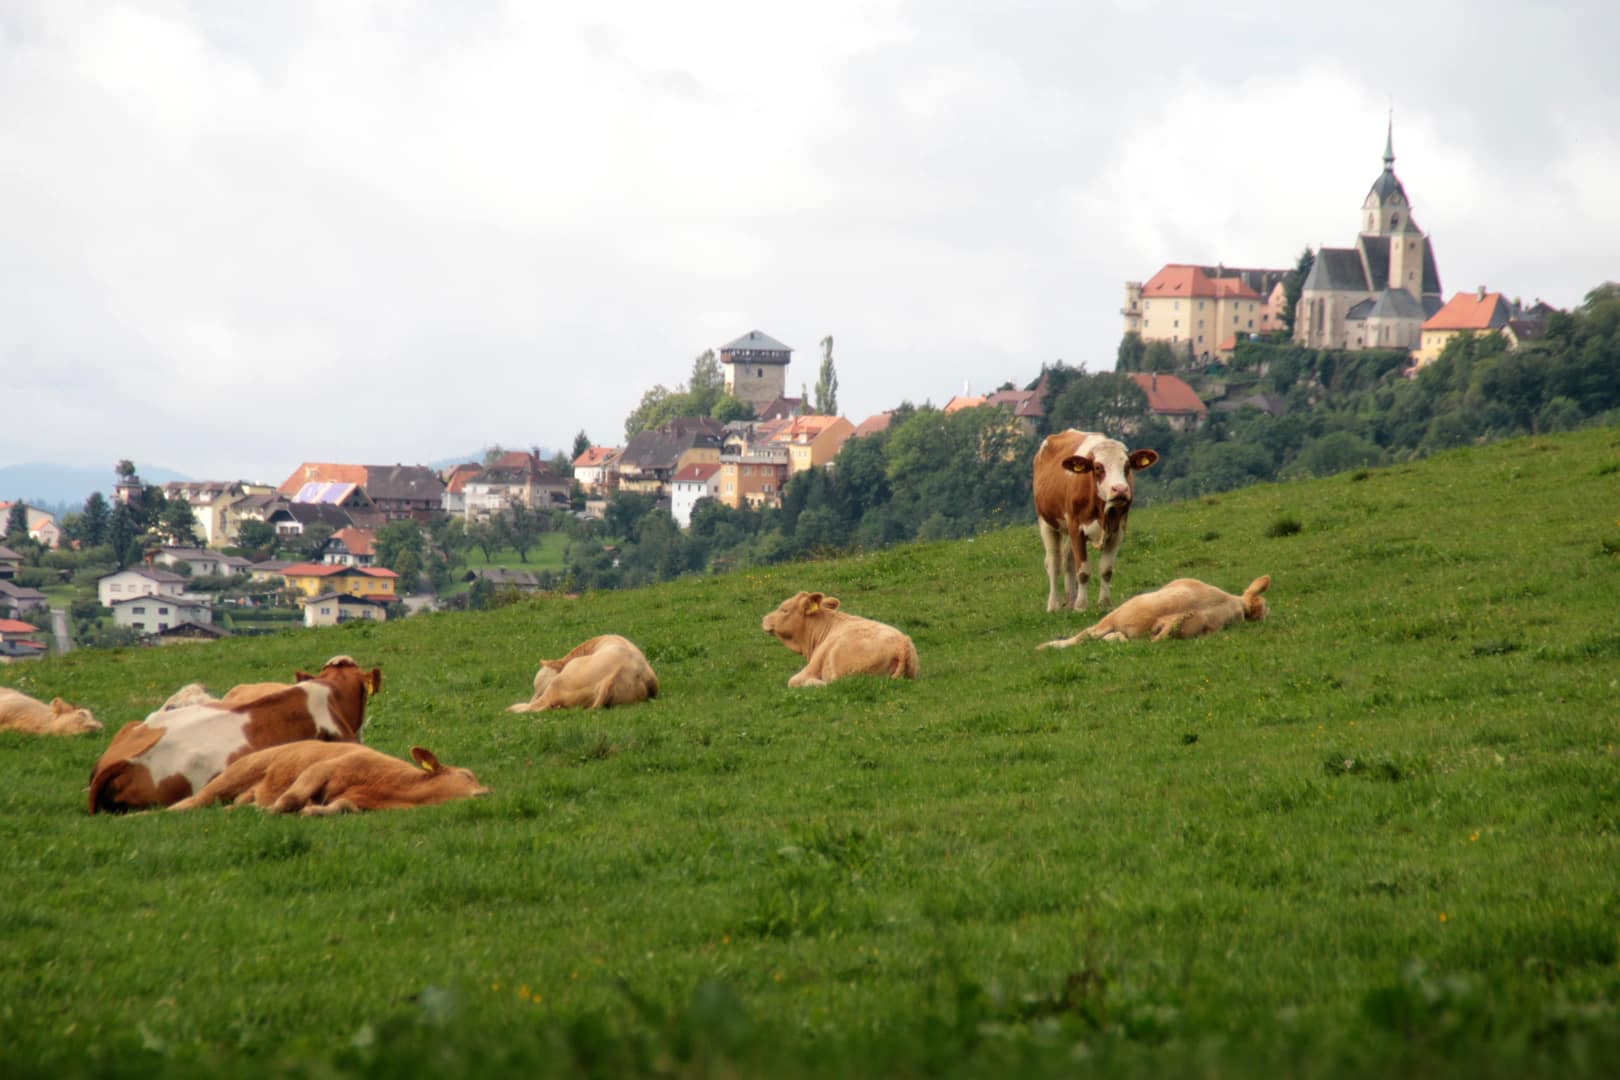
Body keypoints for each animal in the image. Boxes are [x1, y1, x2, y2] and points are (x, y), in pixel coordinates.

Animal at [1033, 429, 1159, 612]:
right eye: (1098, 467)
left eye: (1127, 466)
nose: (1120, 489)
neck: (1101, 511)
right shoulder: (1076, 528)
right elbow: (1083, 570)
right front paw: (1081, 606)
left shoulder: (1118, 531)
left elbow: (1106, 569)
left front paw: (1104, 603)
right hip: (1046, 522)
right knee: (1053, 563)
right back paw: (1054, 605)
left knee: (1067, 559)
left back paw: (1070, 601)